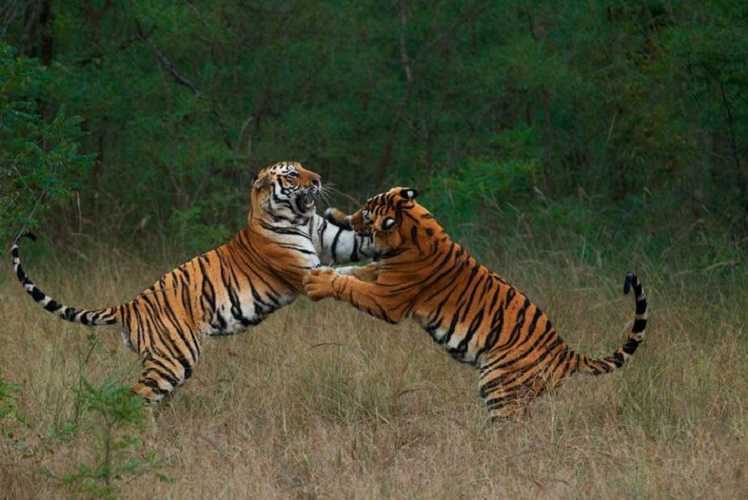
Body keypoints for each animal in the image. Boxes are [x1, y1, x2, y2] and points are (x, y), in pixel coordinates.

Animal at [11, 161, 375, 403]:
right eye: (291, 174)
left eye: (304, 168)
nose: (318, 179)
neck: (299, 218)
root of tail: (129, 305)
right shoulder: (307, 270)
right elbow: (348, 274)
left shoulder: (332, 239)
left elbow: (360, 248)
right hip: (173, 358)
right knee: (137, 396)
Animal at [304, 187, 648, 419]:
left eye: (366, 212)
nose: (341, 216)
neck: (412, 231)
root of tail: (565, 353)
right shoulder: (381, 272)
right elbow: (355, 272)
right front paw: (327, 270)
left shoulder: (388, 298)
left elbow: (352, 286)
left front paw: (319, 281)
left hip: (500, 387)